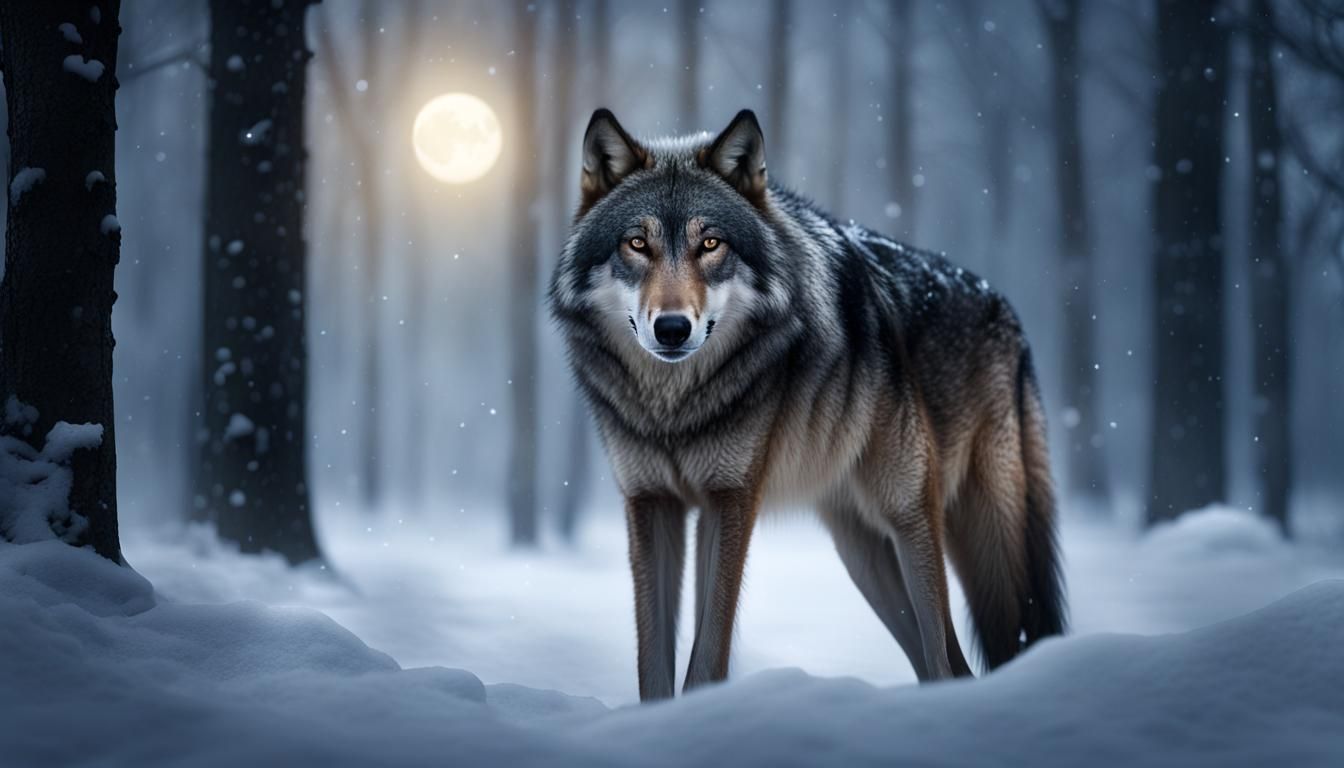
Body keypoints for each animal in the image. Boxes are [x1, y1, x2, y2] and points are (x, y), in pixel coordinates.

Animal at [549, 109, 1066, 701]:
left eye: (711, 244)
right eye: (636, 243)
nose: (673, 328)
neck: (675, 408)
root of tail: (1007, 312)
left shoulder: (732, 499)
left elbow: (707, 657)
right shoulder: (651, 503)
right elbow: (654, 665)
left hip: (915, 515)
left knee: (949, 660)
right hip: (861, 550)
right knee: (942, 664)